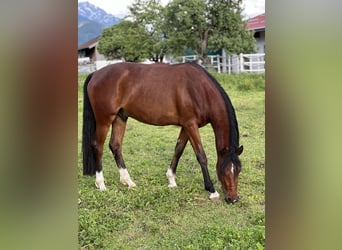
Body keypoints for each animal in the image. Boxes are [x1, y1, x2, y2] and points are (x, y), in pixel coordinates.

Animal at [82, 62, 243, 203]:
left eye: (238, 170)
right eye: (224, 171)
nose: (233, 199)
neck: (200, 90)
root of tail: (95, 74)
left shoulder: (186, 125)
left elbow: (178, 150)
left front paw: (171, 180)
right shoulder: (191, 125)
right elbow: (201, 156)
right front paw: (212, 190)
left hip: (120, 117)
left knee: (115, 146)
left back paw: (128, 181)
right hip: (104, 120)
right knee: (98, 147)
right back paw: (101, 184)